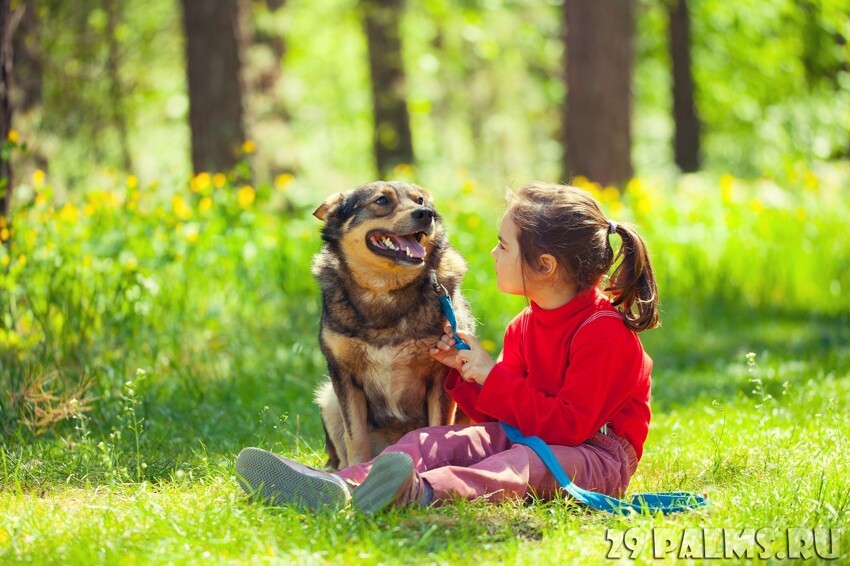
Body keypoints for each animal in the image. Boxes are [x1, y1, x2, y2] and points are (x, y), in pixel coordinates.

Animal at [312, 182, 474, 470]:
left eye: (420, 200)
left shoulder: (442, 373)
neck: (385, 290)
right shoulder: (343, 374)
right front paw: (355, 471)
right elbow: (355, 436)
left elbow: (438, 430)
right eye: (382, 200)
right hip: (329, 399)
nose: (425, 214)